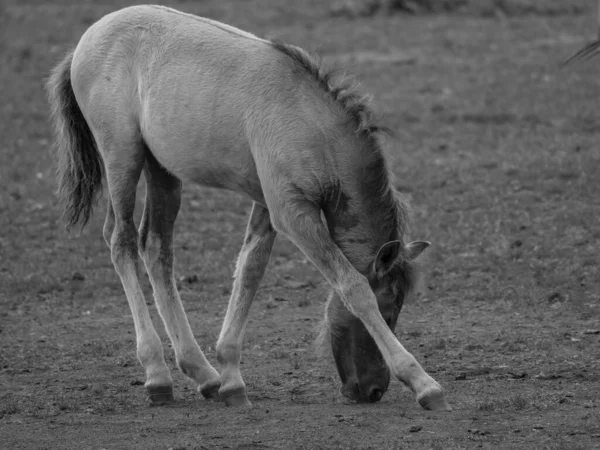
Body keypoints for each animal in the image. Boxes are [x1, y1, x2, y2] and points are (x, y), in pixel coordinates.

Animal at [45, 4, 450, 412]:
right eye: (390, 308)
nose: (373, 390)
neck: (311, 124)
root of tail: (86, 41)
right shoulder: (293, 214)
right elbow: (353, 287)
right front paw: (423, 383)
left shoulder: (269, 205)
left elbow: (250, 271)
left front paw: (231, 379)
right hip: (122, 158)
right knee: (122, 242)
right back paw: (157, 373)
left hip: (162, 170)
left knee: (156, 248)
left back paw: (203, 373)